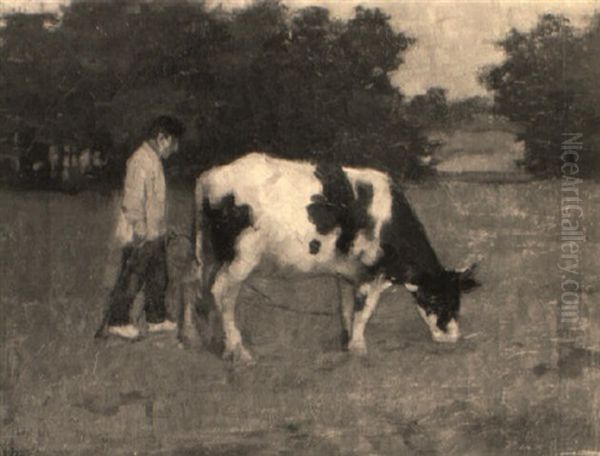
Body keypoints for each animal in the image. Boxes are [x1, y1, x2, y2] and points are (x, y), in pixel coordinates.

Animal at [183, 153, 478, 364]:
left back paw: (193, 339)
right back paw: (237, 350)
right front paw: (359, 349)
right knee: (221, 291)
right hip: (242, 256)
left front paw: (347, 344)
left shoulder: (347, 273)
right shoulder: (371, 273)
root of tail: (211, 176)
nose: (453, 337)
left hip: (205, 252)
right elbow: (364, 309)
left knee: (193, 284)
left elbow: (346, 308)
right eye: (442, 298)